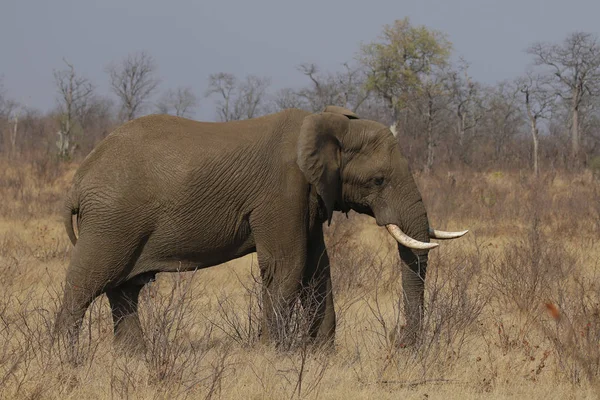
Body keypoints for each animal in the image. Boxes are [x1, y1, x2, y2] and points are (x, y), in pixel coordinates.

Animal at [55, 105, 468, 354]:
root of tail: (77, 181)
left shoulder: (308, 198)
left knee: (124, 291)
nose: (401, 342)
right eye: (379, 180)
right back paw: (66, 360)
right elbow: (288, 265)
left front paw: (320, 355)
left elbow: (317, 268)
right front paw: (275, 353)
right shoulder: (282, 192)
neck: (328, 122)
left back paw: (135, 360)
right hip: (111, 222)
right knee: (85, 285)